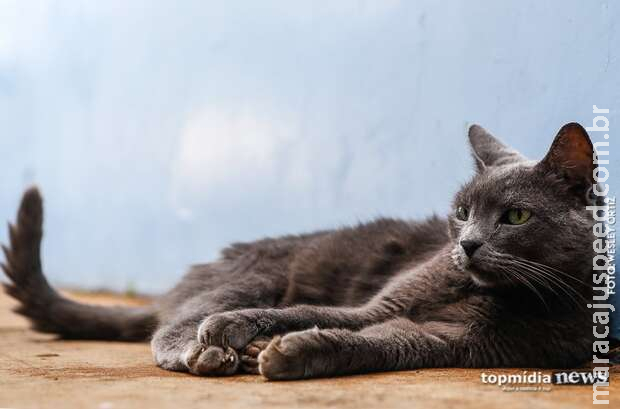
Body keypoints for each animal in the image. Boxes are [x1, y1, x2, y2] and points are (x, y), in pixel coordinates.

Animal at [2, 122, 600, 380]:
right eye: (460, 211)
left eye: (515, 216)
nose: (467, 244)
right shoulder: (381, 302)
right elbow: (310, 310)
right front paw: (238, 331)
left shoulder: (454, 342)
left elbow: (377, 344)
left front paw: (294, 353)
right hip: (255, 275)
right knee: (171, 325)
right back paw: (208, 350)